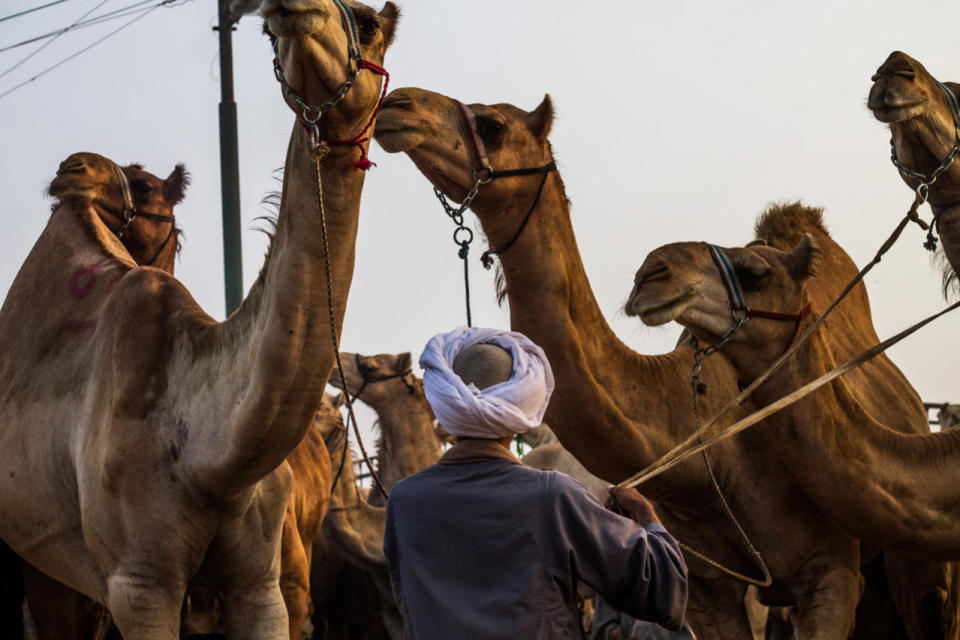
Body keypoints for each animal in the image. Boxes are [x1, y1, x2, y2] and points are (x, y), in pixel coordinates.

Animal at [0, 1, 398, 636]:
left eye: (369, 22)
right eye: (265, 32)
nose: (72, 167)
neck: (215, 462)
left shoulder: (262, 583)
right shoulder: (140, 584)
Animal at [378, 87, 956, 636]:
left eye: (494, 124)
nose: (397, 104)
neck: (703, 451)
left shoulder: (829, 571)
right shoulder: (705, 587)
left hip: (908, 568)